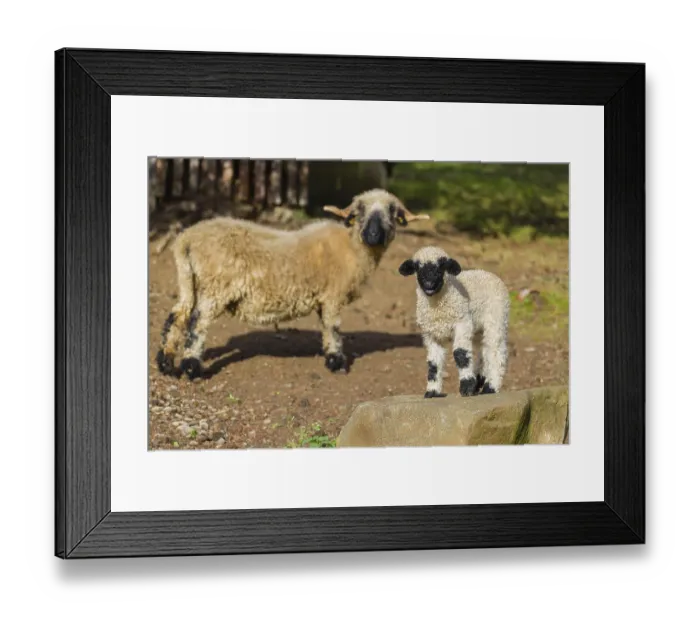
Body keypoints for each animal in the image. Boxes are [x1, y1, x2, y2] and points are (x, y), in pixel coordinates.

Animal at [156, 189, 429, 379]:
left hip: (188, 279)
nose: (373, 235)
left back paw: (166, 363)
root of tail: (187, 238)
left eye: (393, 212)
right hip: (216, 285)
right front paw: (336, 362)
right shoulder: (332, 295)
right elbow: (333, 327)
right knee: (197, 323)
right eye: (358, 211)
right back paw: (191, 368)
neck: (352, 248)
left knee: (177, 316)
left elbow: (326, 327)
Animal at [398, 246, 510, 398]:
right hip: (478, 329)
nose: (429, 284)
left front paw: (467, 387)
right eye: (417, 268)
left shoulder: (462, 323)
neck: (437, 307)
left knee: (495, 351)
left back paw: (490, 387)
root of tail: (488, 273)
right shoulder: (431, 334)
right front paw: (432, 391)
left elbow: (460, 354)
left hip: (496, 318)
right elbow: (433, 363)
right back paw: (479, 381)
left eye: (442, 267)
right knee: (484, 351)